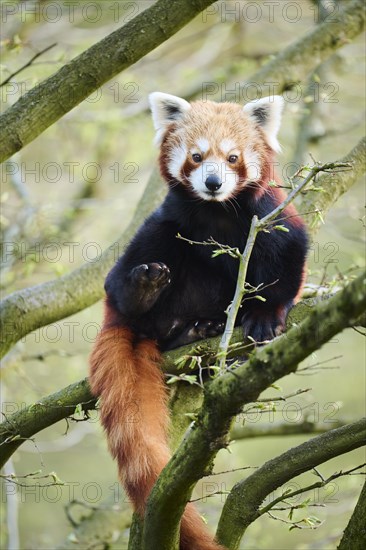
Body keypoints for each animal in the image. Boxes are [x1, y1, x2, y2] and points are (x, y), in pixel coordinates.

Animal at [89, 92, 308, 548]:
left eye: (233, 157)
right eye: (196, 156)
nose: (212, 183)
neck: (217, 213)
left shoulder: (270, 215)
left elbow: (286, 257)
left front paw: (266, 316)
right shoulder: (172, 213)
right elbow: (131, 258)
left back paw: (204, 328)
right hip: (157, 256)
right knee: (131, 274)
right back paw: (151, 302)